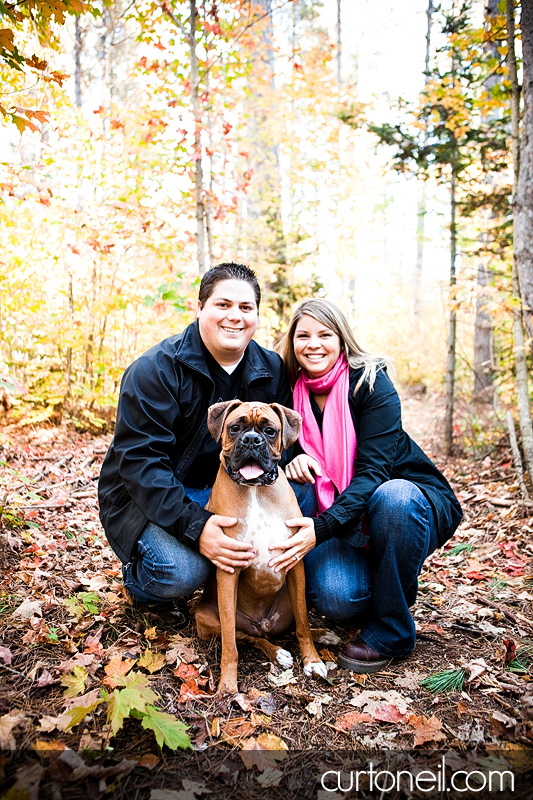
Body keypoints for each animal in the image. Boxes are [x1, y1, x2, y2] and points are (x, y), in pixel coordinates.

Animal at [195, 400, 328, 692]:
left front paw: (312, 660)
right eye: (234, 428)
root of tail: (263, 624)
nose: (252, 440)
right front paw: (227, 685)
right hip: (205, 617)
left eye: (269, 431)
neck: (255, 490)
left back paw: (323, 635)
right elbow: (230, 643)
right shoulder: (228, 571)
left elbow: (303, 623)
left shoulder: (295, 562)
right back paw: (276, 652)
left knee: (293, 624)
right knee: (247, 637)